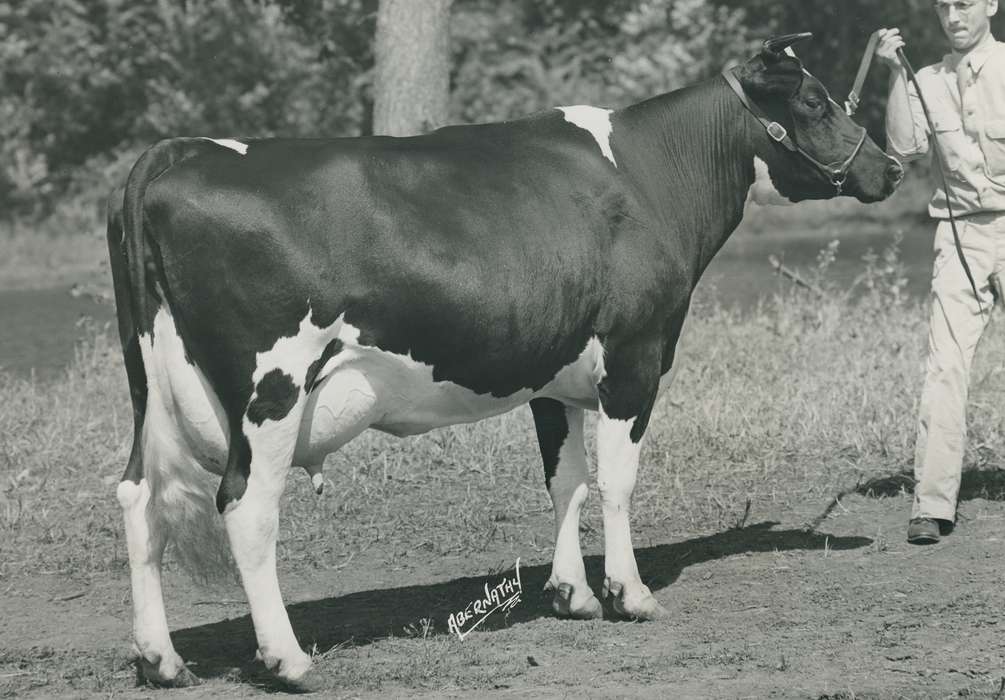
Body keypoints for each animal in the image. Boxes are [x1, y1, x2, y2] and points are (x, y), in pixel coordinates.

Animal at [107, 33, 902, 690]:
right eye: (812, 101)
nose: (890, 167)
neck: (650, 176)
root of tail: (177, 152)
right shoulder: (635, 357)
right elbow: (616, 482)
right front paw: (631, 595)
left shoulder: (554, 374)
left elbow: (566, 482)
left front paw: (572, 594)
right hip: (270, 387)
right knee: (246, 506)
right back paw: (289, 659)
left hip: (150, 391)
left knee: (139, 497)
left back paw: (162, 660)